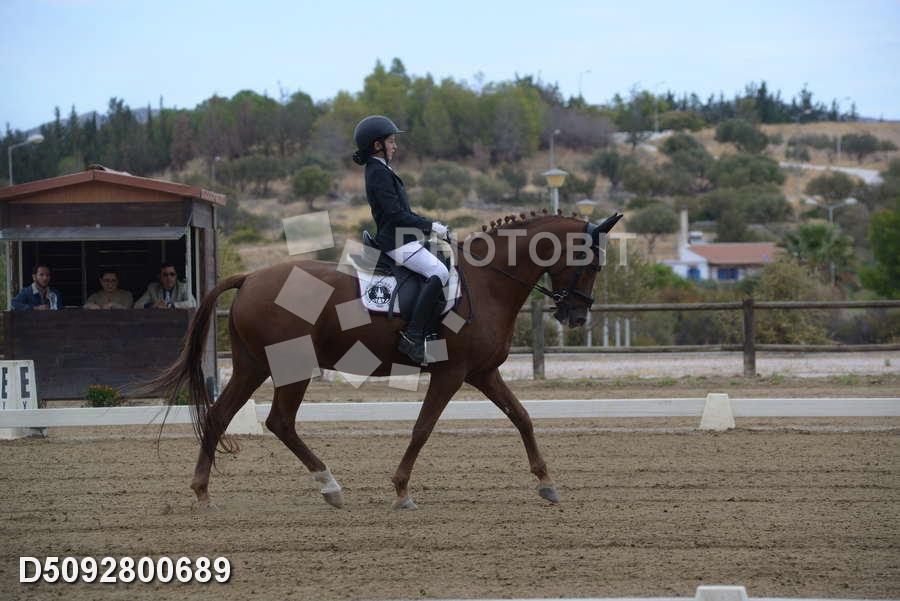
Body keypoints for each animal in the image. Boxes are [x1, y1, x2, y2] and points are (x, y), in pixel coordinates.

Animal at [147, 210, 622, 510]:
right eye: (589, 262)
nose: (577, 317)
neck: (488, 282)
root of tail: (250, 278)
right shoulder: (452, 374)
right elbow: (423, 428)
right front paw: (401, 491)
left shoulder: (484, 372)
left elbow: (522, 416)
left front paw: (547, 483)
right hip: (291, 368)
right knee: (279, 421)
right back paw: (330, 486)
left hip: (253, 366)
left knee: (220, 416)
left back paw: (204, 493)